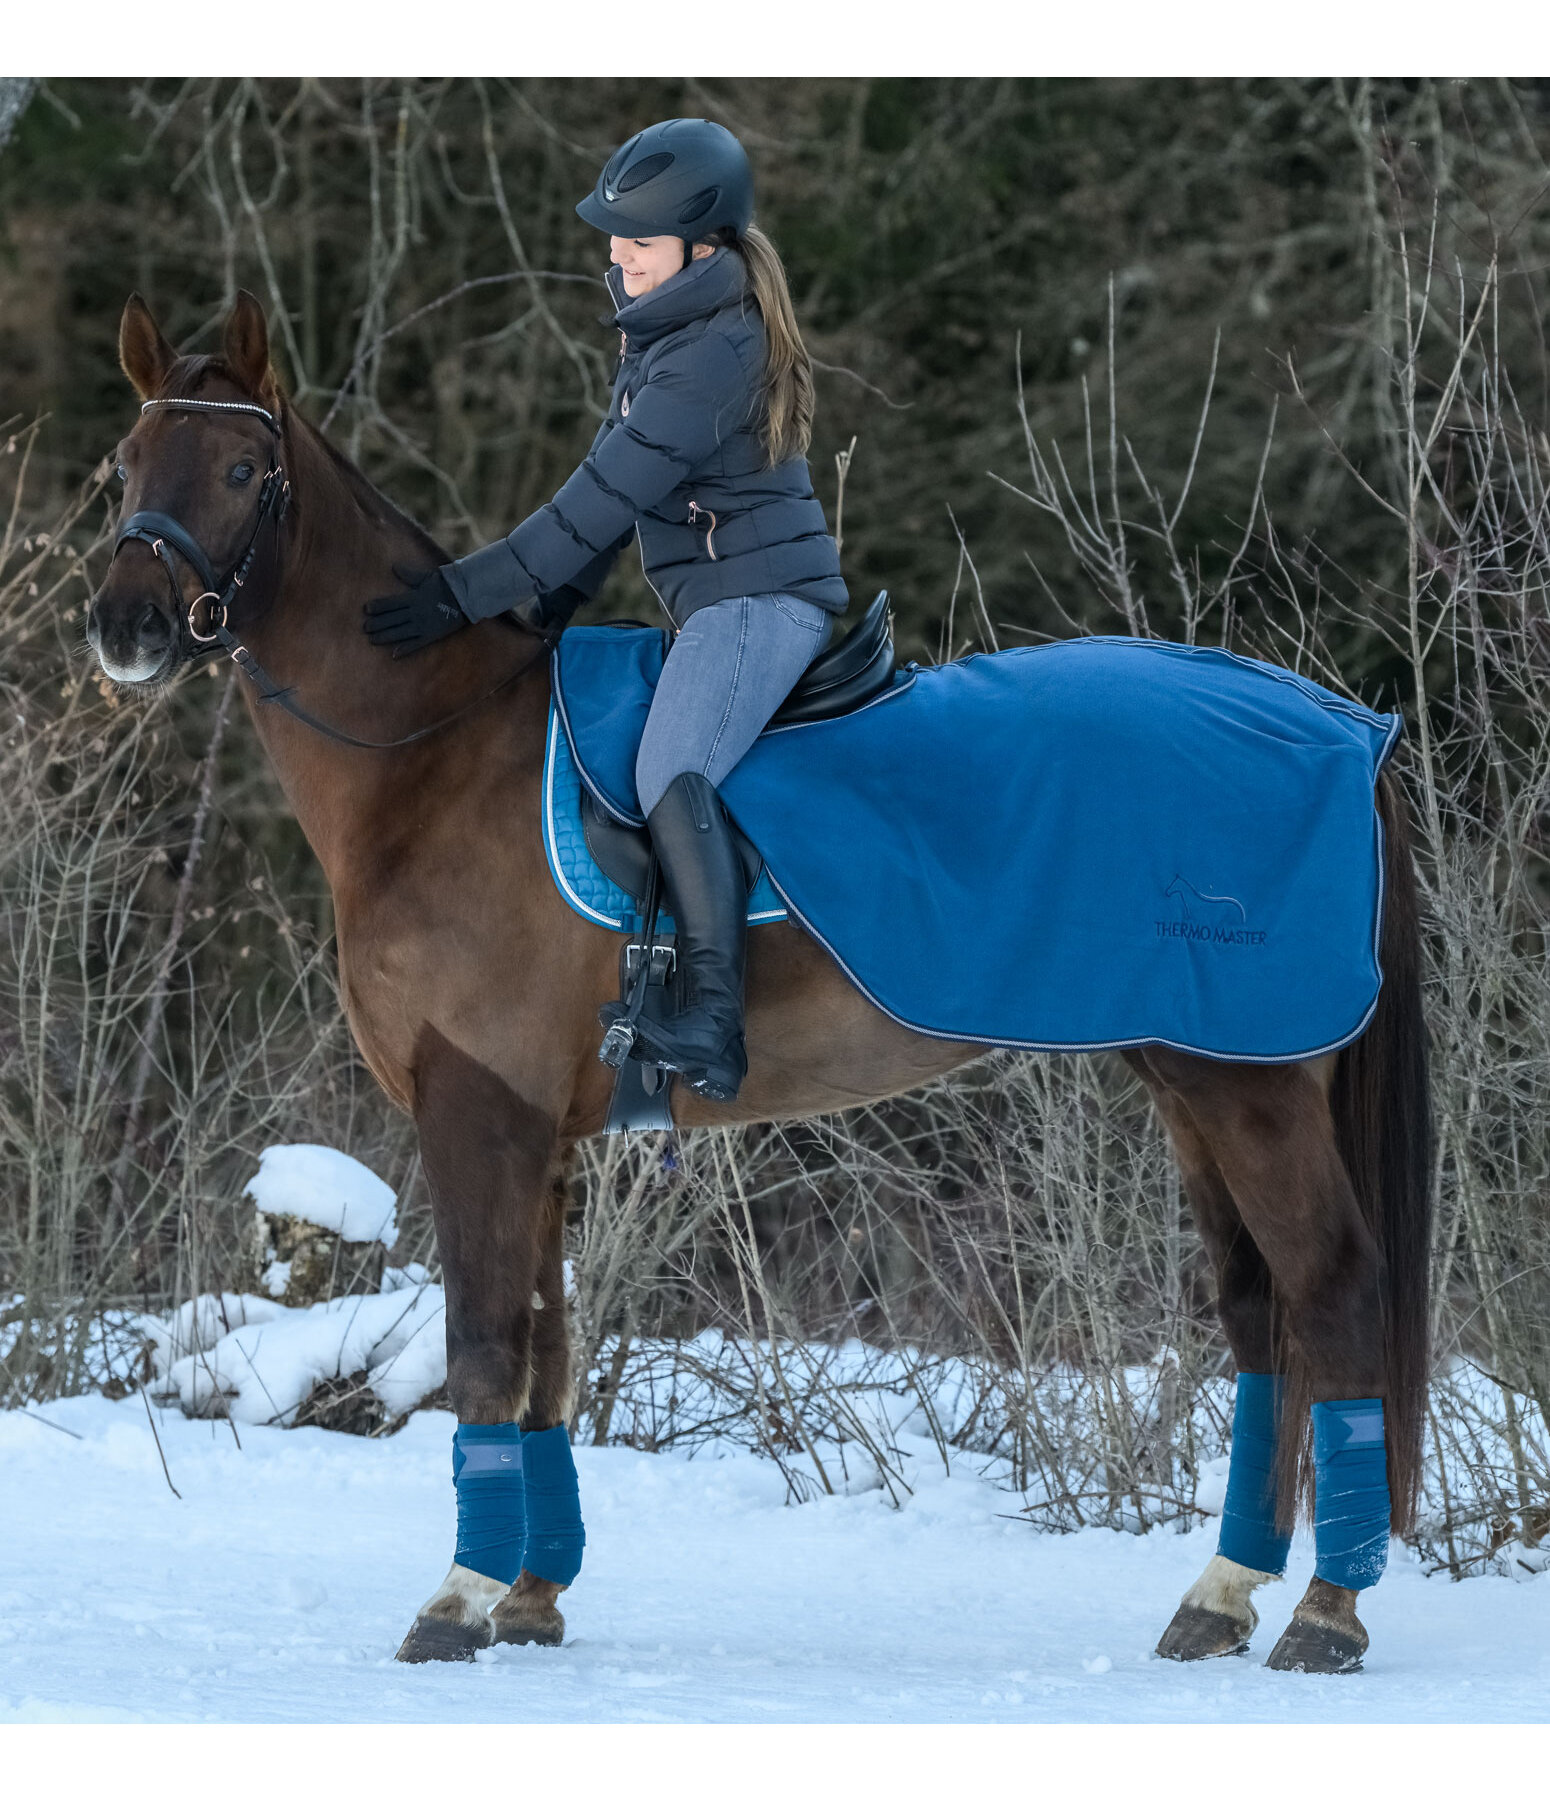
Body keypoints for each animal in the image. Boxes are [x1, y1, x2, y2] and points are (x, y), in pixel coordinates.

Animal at [90, 291, 1432, 1670]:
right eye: (122, 469)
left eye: (241, 471)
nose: (125, 628)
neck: (435, 757)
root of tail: (1341, 724)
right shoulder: (544, 1135)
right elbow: (548, 1349)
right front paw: (532, 1596)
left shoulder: (480, 1110)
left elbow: (484, 1346)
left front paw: (456, 1600)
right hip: (1196, 1081)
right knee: (1259, 1311)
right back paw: (1220, 1595)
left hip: (1249, 1088)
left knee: (1334, 1294)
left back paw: (1323, 1615)